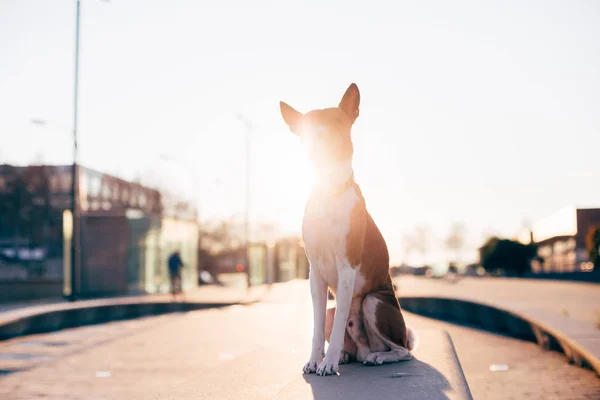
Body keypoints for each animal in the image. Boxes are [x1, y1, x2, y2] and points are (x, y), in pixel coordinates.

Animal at [280, 83, 418, 376]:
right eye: (308, 128)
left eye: (336, 122)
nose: (319, 140)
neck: (328, 192)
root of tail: (365, 348)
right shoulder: (315, 273)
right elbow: (317, 326)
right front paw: (315, 360)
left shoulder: (347, 268)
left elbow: (340, 320)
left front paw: (328, 362)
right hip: (343, 314)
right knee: (345, 336)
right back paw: (346, 354)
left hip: (374, 302)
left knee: (402, 351)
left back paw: (375, 357)